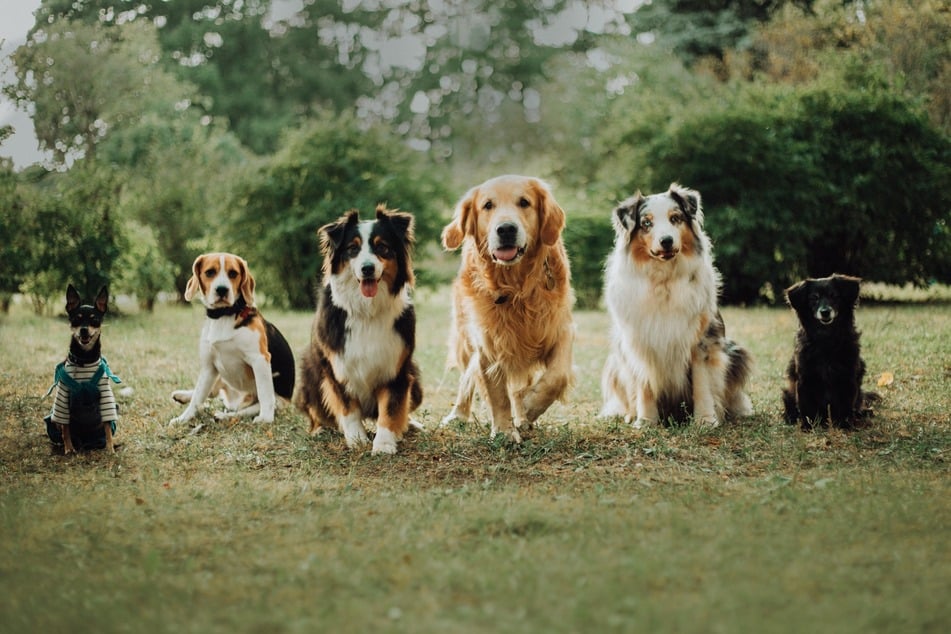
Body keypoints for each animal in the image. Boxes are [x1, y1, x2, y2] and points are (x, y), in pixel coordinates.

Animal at [780, 272, 876, 428]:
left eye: (834, 296)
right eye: (814, 298)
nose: (825, 312)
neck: (826, 338)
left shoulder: (848, 377)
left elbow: (846, 405)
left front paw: (845, 424)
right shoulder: (805, 378)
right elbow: (807, 407)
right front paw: (808, 426)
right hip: (788, 391)